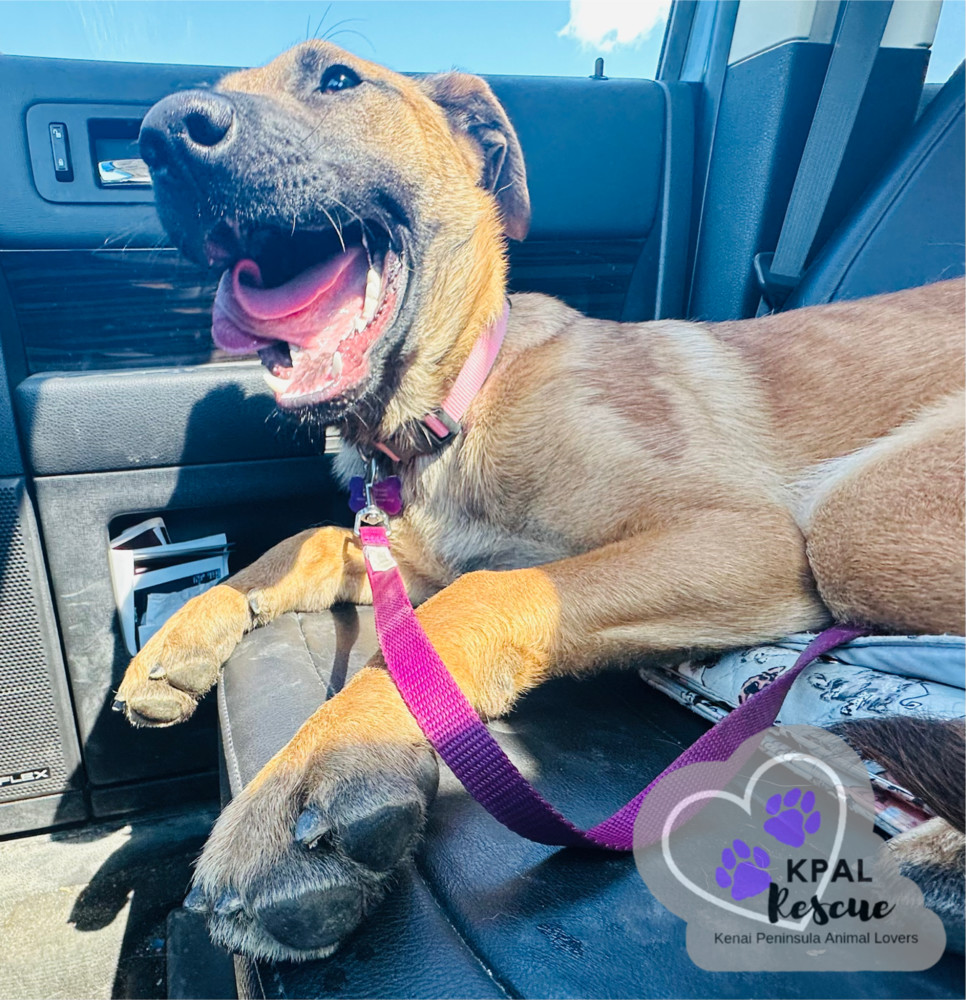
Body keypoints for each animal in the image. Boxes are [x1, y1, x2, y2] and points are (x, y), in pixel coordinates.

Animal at [115, 41, 966, 960]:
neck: (460, 402)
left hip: (856, 525)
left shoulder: (738, 535)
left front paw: (331, 754)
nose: (164, 134)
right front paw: (179, 635)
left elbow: (484, 594)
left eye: (337, 77)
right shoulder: (409, 558)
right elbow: (303, 542)